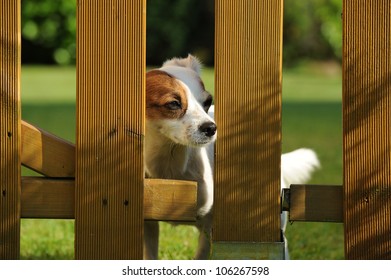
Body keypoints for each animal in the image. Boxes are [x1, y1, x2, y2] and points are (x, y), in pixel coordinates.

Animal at [145, 54, 320, 260]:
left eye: (207, 101)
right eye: (173, 103)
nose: (211, 127)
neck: (169, 161)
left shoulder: (211, 227)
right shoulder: (148, 221)